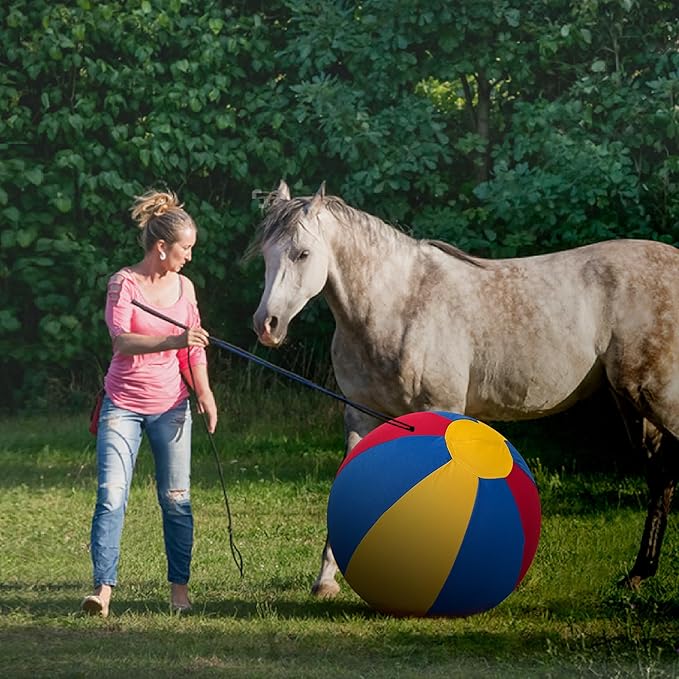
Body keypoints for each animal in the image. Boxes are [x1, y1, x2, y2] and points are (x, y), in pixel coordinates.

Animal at [251, 180, 679, 598]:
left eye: (303, 253)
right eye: (266, 255)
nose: (266, 324)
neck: (398, 305)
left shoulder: (439, 408)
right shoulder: (360, 414)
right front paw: (326, 581)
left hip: (656, 398)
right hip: (634, 405)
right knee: (660, 477)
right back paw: (638, 574)